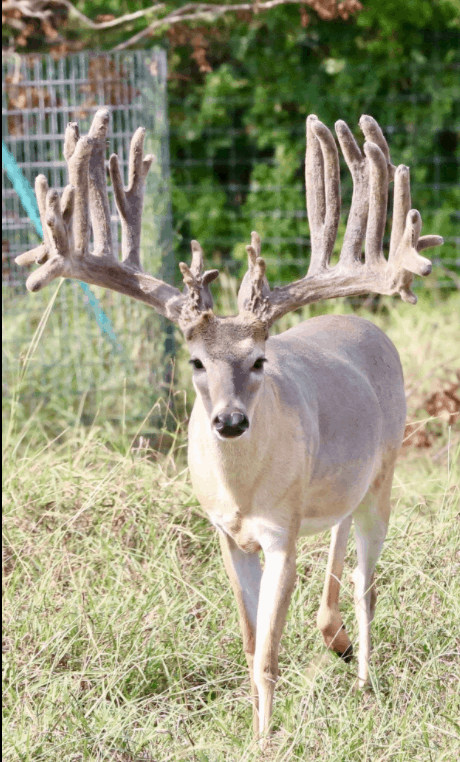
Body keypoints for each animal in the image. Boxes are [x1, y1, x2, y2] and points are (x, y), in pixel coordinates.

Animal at [15, 109, 443, 745]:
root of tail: (364, 324)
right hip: (343, 485)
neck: (244, 493)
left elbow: (267, 654)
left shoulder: (281, 532)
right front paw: (254, 729)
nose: (231, 420)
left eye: (260, 360)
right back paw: (336, 640)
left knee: (368, 583)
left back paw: (365, 680)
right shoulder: (223, 531)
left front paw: (265, 741)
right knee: (341, 536)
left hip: (386, 473)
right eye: (196, 362)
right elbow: (247, 643)